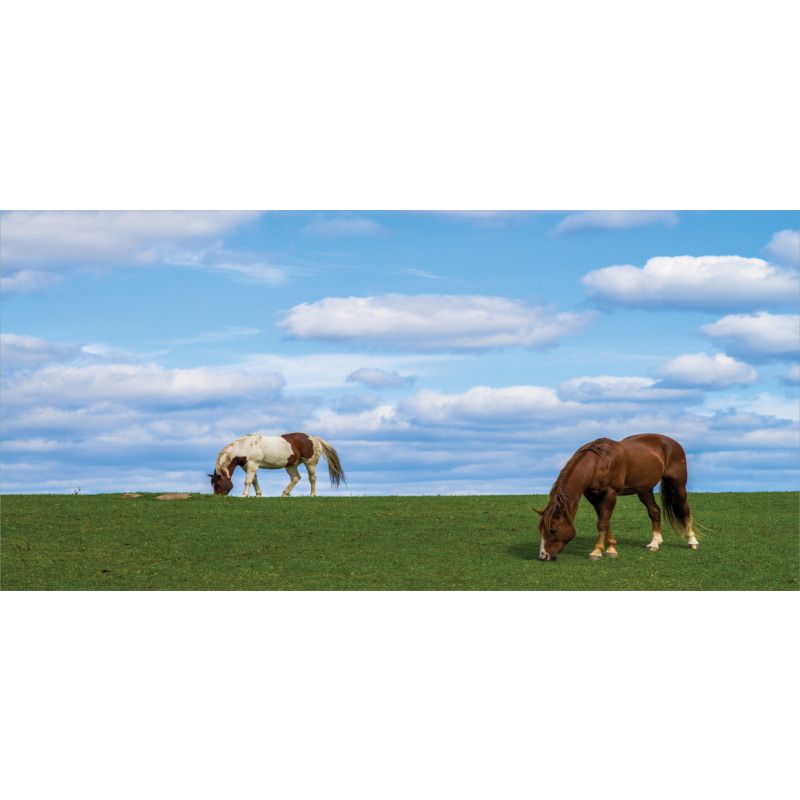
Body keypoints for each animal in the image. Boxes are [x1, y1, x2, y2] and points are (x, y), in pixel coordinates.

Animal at [208, 434, 346, 496]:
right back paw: (284, 494)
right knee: (295, 478)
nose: (218, 496)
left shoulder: (253, 464)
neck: (243, 447)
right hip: (290, 465)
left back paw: (312, 494)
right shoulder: (247, 467)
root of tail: (314, 438)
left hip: (310, 463)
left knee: (312, 478)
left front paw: (244, 495)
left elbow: (248, 481)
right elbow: (254, 481)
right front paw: (258, 495)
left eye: (218, 484)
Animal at [536, 434, 700, 560]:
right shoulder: (594, 497)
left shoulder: (610, 494)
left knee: (685, 509)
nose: (544, 556)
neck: (598, 463)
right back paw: (654, 543)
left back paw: (692, 541)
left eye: (553, 530)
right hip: (644, 490)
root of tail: (673, 443)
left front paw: (597, 552)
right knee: (655, 512)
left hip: (678, 485)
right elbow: (604, 522)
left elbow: (603, 523)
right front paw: (611, 549)